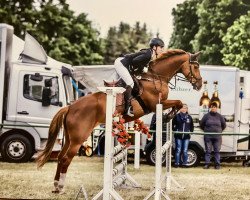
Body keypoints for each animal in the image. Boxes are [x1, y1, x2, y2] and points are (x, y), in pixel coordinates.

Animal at [36, 49, 202, 193]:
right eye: (195, 66)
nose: (200, 85)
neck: (156, 78)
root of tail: (70, 107)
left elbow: (178, 103)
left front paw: (168, 116)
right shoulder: (155, 104)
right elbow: (179, 102)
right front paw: (168, 116)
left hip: (70, 137)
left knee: (59, 157)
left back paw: (56, 185)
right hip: (79, 138)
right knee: (65, 159)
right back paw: (60, 186)